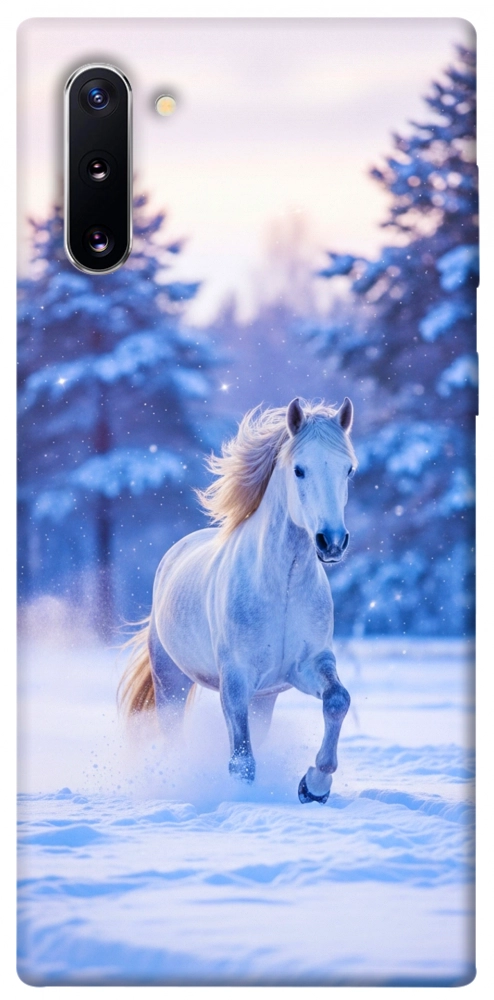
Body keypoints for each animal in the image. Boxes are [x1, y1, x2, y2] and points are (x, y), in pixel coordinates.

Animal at [119, 396, 357, 803]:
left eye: (348, 470)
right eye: (299, 470)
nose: (332, 542)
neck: (282, 588)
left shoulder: (307, 665)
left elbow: (338, 700)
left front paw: (314, 786)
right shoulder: (235, 679)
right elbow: (242, 761)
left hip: (264, 698)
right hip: (171, 681)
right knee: (173, 735)